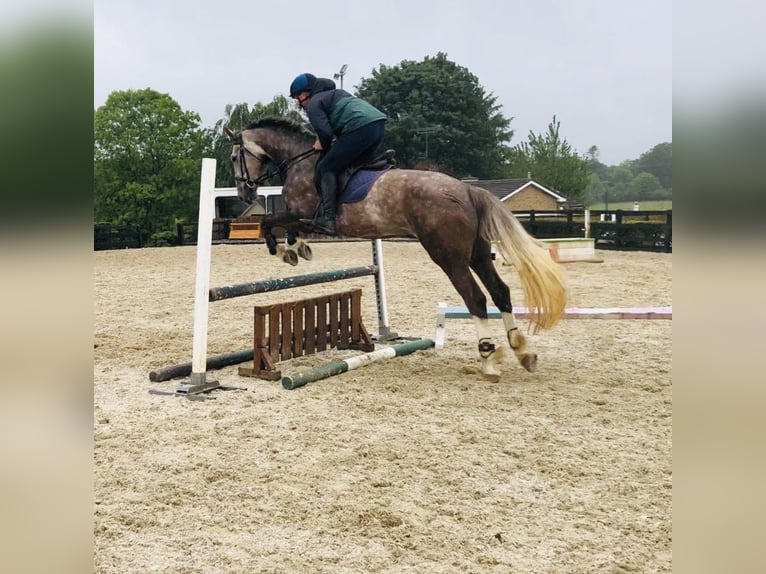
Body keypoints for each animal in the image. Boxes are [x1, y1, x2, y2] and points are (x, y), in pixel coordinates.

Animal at [225, 117, 568, 382]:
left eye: (233, 157)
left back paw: (488, 359)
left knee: (476, 298)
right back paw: (522, 350)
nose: (244, 193)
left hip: (448, 256)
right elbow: (280, 224)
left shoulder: (304, 215)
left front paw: (286, 250)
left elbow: (269, 222)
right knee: (500, 292)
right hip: (478, 254)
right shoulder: (303, 218)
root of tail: (466, 190)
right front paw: (297, 249)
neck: (299, 159)